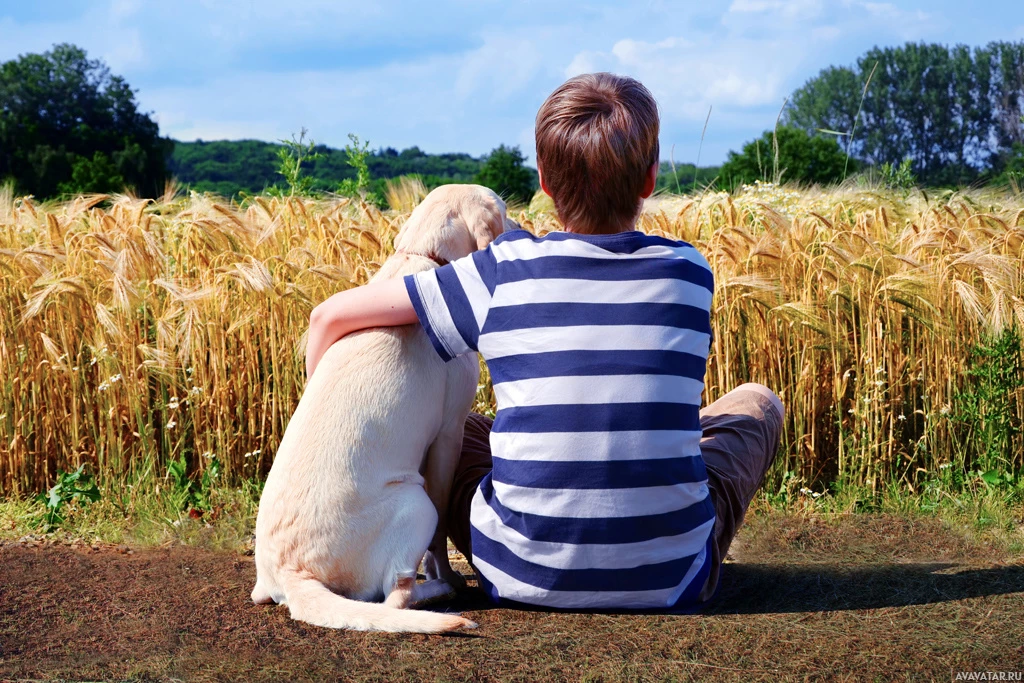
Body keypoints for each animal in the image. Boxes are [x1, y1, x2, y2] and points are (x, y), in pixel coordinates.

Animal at [251, 184, 512, 634]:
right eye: (504, 209)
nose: (523, 229)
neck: (424, 256)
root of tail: (292, 574)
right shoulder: (449, 434)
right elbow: (439, 534)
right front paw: (445, 573)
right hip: (415, 500)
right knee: (397, 595)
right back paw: (440, 592)